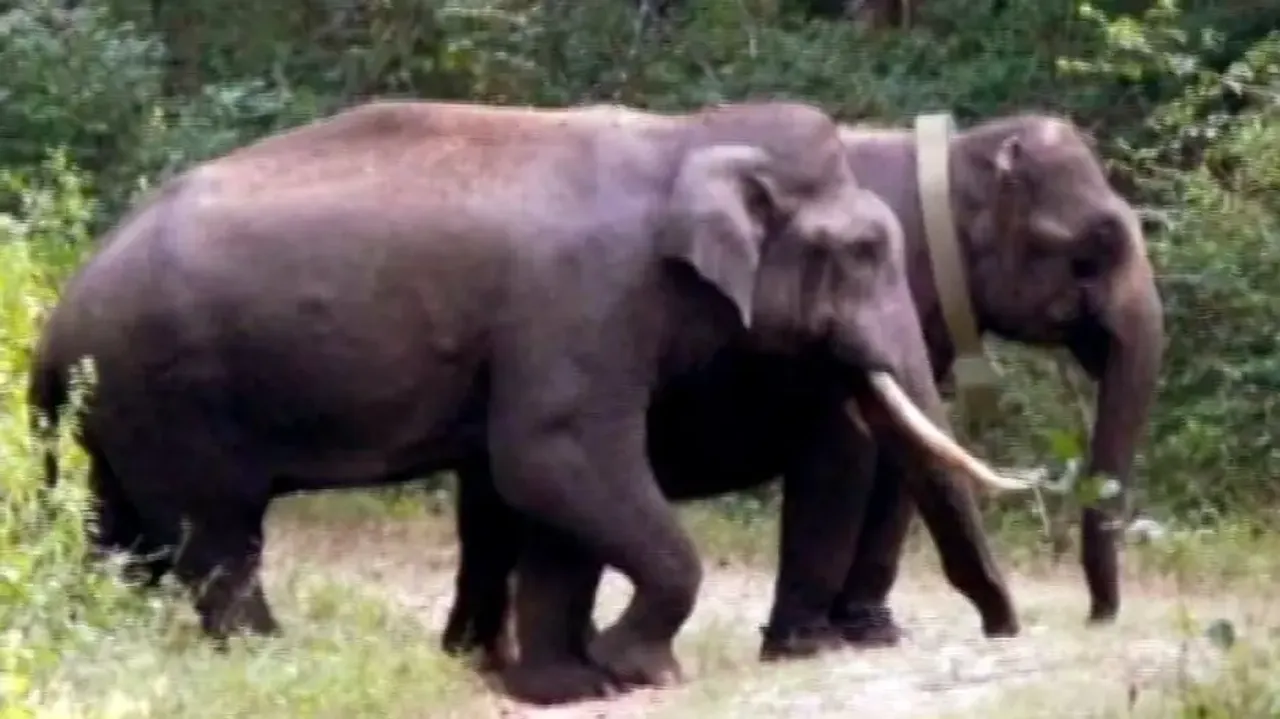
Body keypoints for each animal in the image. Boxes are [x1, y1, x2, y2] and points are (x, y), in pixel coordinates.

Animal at [27, 99, 1030, 707]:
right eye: (861, 253)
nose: (1004, 630)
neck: (680, 140)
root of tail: (56, 316)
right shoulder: (586, 301)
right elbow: (555, 458)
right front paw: (639, 668)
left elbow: (546, 495)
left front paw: (567, 684)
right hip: (172, 396)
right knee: (216, 531)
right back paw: (273, 659)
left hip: (109, 415)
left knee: (116, 532)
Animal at [441, 112, 1165, 680]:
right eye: (1094, 246)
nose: (1096, 617)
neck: (954, 153)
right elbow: (851, 446)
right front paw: (811, 648)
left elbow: (900, 458)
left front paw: (875, 635)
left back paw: (477, 659)